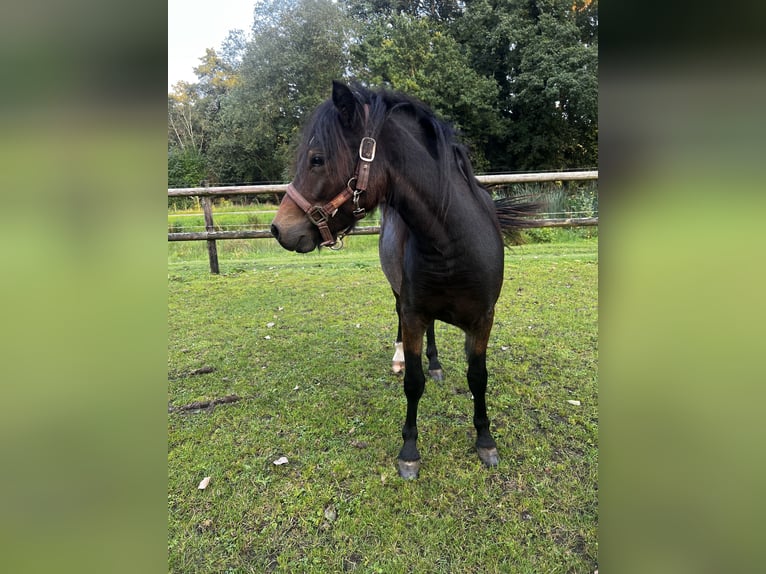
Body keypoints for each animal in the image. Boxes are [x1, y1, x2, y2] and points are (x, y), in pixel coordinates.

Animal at [272, 80, 540, 476]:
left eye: (317, 159)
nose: (279, 228)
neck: (452, 242)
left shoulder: (483, 319)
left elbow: (478, 378)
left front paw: (485, 441)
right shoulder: (414, 312)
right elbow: (414, 382)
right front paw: (409, 450)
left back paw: (437, 364)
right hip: (400, 293)